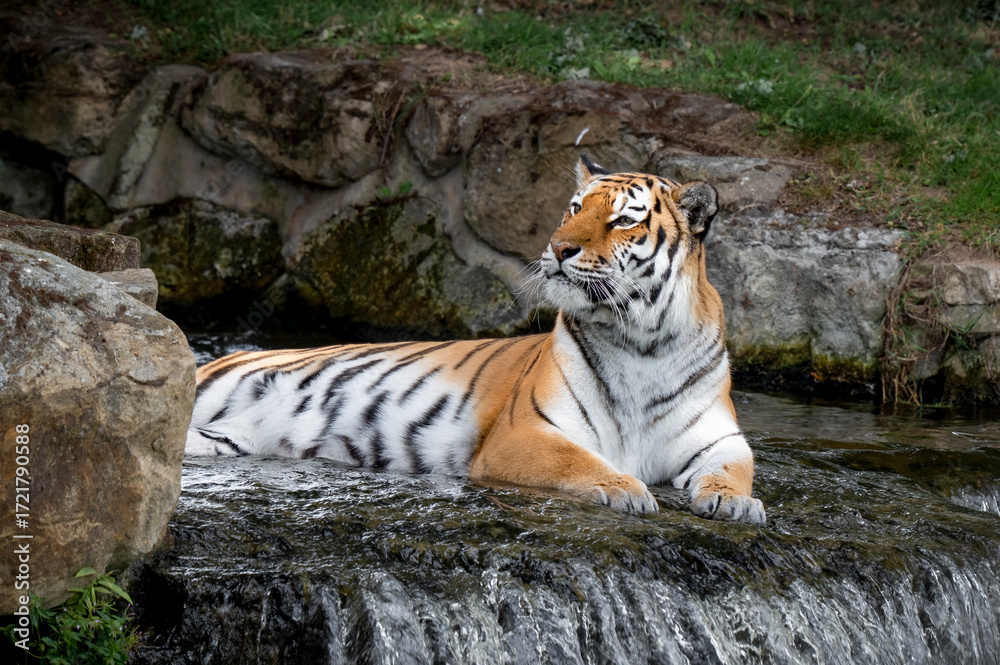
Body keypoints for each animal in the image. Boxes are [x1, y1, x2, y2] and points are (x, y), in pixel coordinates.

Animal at [186, 155, 766, 525]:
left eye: (623, 220)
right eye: (574, 209)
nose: (558, 248)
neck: (642, 340)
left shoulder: (719, 439)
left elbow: (734, 470)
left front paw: (735, 504)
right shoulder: (527, 433)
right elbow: (579, 462)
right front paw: (628, 490)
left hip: (222, 441)